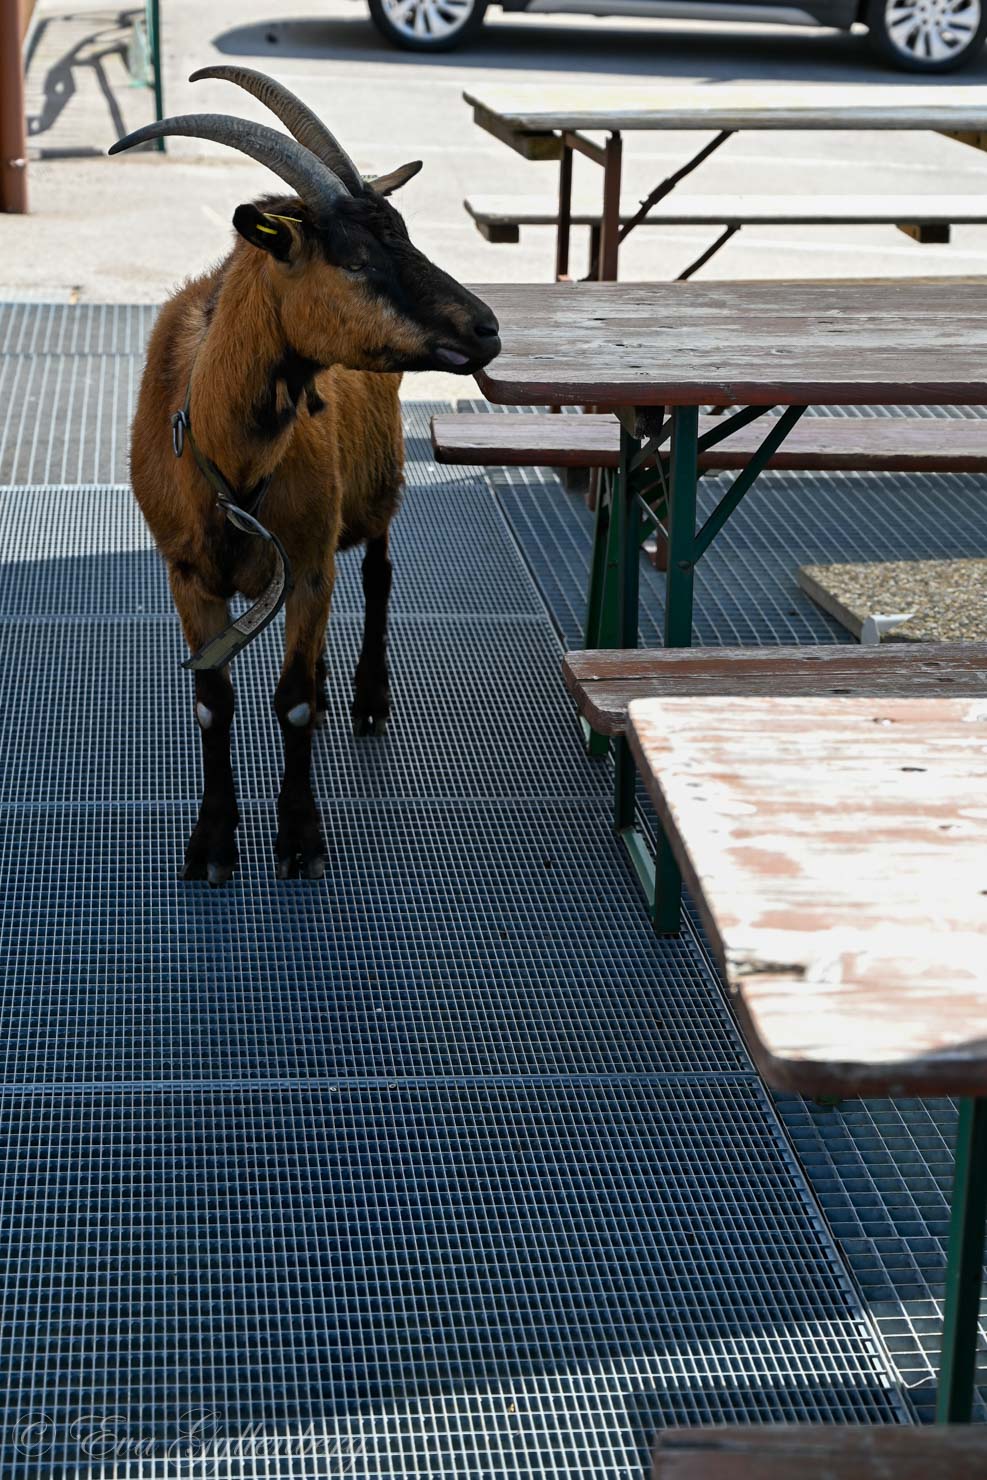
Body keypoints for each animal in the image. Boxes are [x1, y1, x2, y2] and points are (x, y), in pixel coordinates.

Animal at [111, 68, 500, 886]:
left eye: (406, 233)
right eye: (355, 259)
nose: (486, 328)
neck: (229, 457)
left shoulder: (311, 559)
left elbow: (287, 702)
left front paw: (299, 838)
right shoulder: (186, 573)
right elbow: (212, 703)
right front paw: (212, 844)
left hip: (376, 488)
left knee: (379, 574)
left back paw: (364, 696)